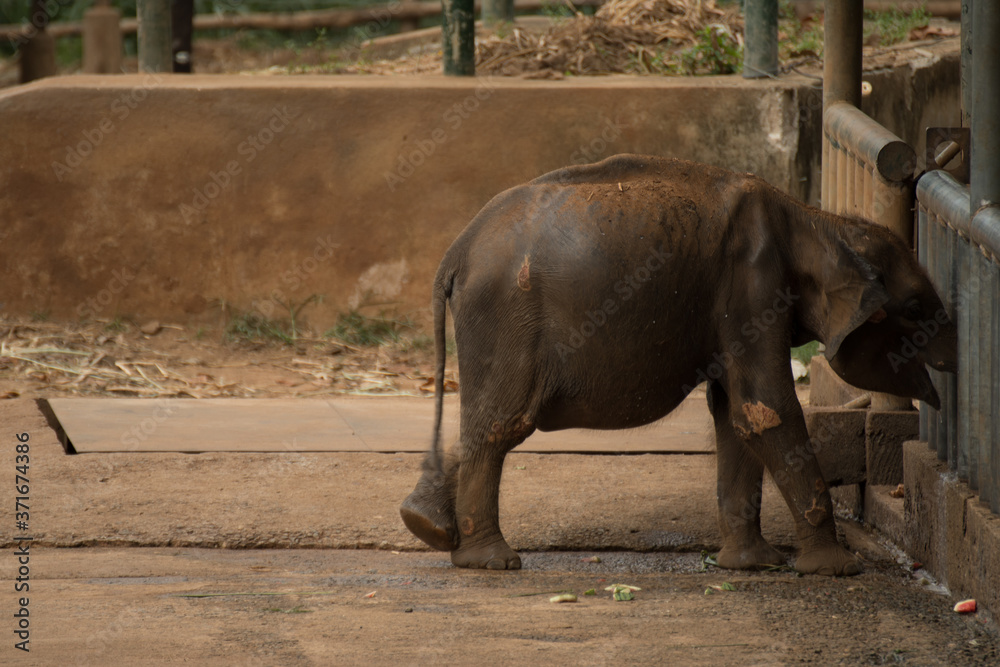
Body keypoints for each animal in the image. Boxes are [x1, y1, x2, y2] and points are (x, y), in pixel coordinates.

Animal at [399, 154, 957, 576]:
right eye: (915, 309)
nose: (953, 359)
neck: (818, 220)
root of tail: (455, 253)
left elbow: (734, 414)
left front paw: (751, 566)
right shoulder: (753, 287)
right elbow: (766, 410)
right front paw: (837, 570)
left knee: (489, 419)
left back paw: (426, 525)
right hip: (506, 315)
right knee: (503, 423)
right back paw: (492, 562)